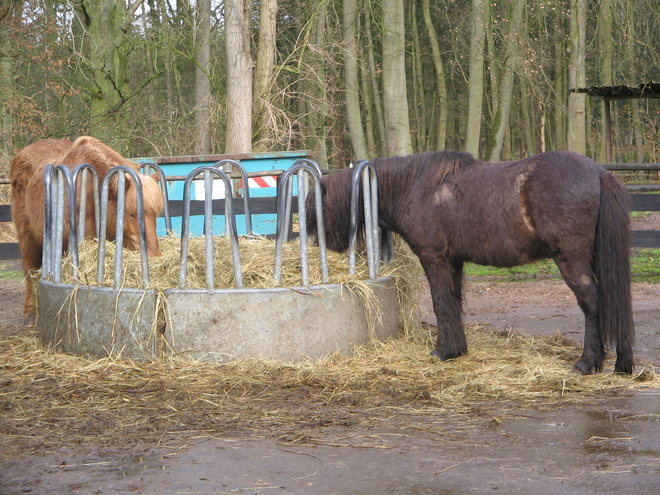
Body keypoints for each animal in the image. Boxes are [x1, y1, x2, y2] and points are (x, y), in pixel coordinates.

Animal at [10, 136, 165, 324]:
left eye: (156, 214)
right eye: (131, 214)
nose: (153, 255)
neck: (93, 187)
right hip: (28, 239)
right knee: (30, 271)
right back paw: (31, 313)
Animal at [310, 151, 636, 376]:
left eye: (319, 211)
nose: (321, 249)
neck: (415, 187)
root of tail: (598, 173)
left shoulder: (435, 258)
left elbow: (441, 302)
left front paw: (443, 351)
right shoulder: (453, 261)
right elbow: (454, 302)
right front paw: (456, 349)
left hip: (571, 259)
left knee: (593, 302)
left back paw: (587, 363)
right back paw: (622, 363)